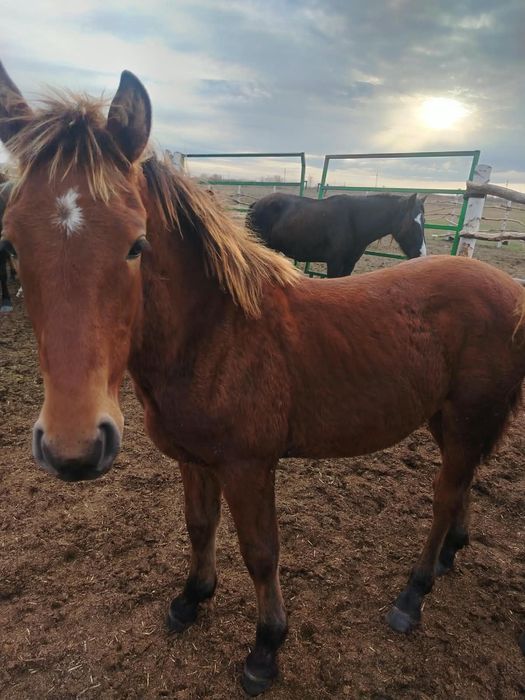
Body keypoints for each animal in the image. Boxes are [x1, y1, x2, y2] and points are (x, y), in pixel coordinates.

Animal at [246, 191, 426, 277]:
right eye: (412, 223)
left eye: (424, 221)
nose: (421, 255)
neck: (354, 221)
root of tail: (256, 204)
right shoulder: (334, 263)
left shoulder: (349, 264)